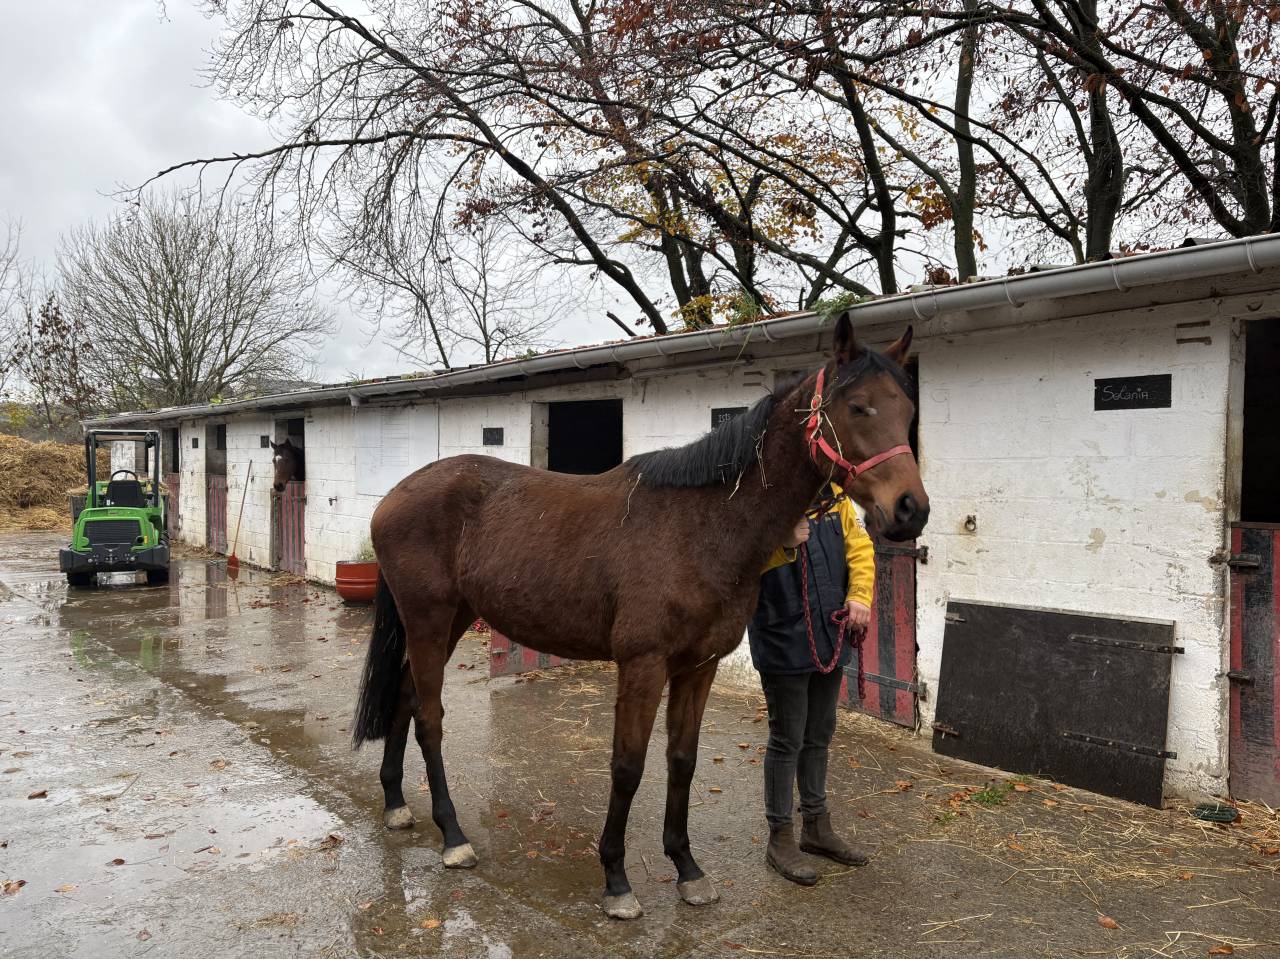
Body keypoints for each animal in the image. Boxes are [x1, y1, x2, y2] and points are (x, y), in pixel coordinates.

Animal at [352, 314, 929, 919]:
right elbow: (627, 767)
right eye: (859, 407)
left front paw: (687, 869)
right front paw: (616, 880)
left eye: (908, 411)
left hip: (450, 620)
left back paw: (396, 804)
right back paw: (454, 837)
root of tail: (393, 497)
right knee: (429, 717)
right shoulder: (643, 665)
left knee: (403, 697)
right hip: (429, 619)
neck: (701, 524)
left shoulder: (698, 667)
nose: (911, 510)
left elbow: (682, 760)